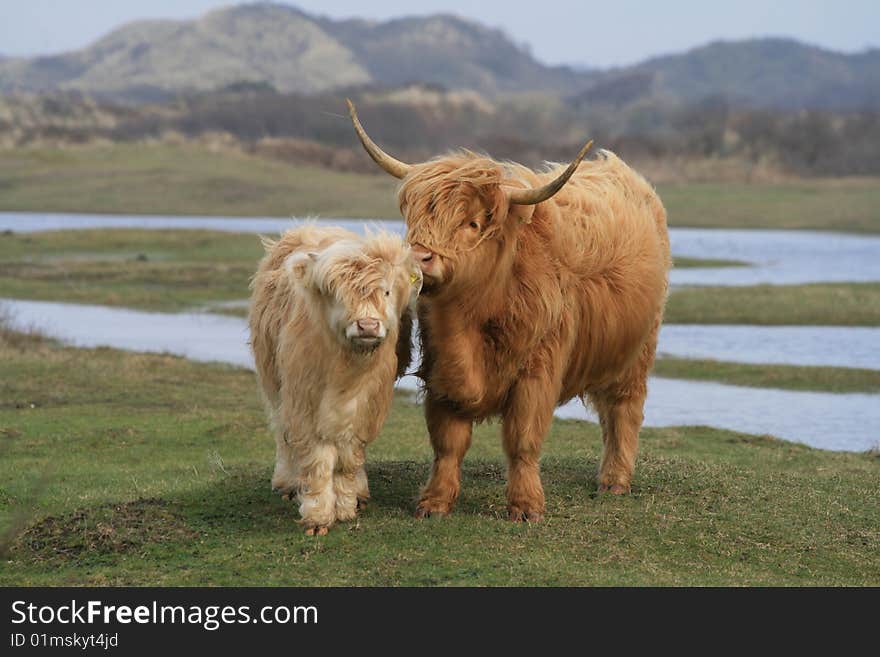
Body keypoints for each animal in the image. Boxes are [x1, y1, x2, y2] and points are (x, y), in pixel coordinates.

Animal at [248, 226, 422, 532]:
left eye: (386, 290)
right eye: (337, 294)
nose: (367, 325)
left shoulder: (366, 408)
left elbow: (349, 460)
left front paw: (346, 506)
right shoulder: (304, 404)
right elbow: (317, 461)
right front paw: (317, 516)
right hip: (275, 383)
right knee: (283, 436)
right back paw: (287, 484)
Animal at [348, 97, 672, 520]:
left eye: (472, 223)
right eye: (414, 218)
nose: (420, 257)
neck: (471, 318)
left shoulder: (537, 370)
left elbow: (523, 439)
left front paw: (526, 506)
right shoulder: (441, 371)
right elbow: (448, 442)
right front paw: (435, 502)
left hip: (638, 352)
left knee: (624, 411)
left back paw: (615, 481)